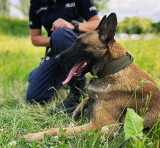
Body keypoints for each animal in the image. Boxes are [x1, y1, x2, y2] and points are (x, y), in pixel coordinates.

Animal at [24, 12, 160, 141]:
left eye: (79, 44)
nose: (57, 58)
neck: (112, 69)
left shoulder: (101, 127)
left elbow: (57, 130)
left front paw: (33, 136)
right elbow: (84, 101)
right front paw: (74, 114)